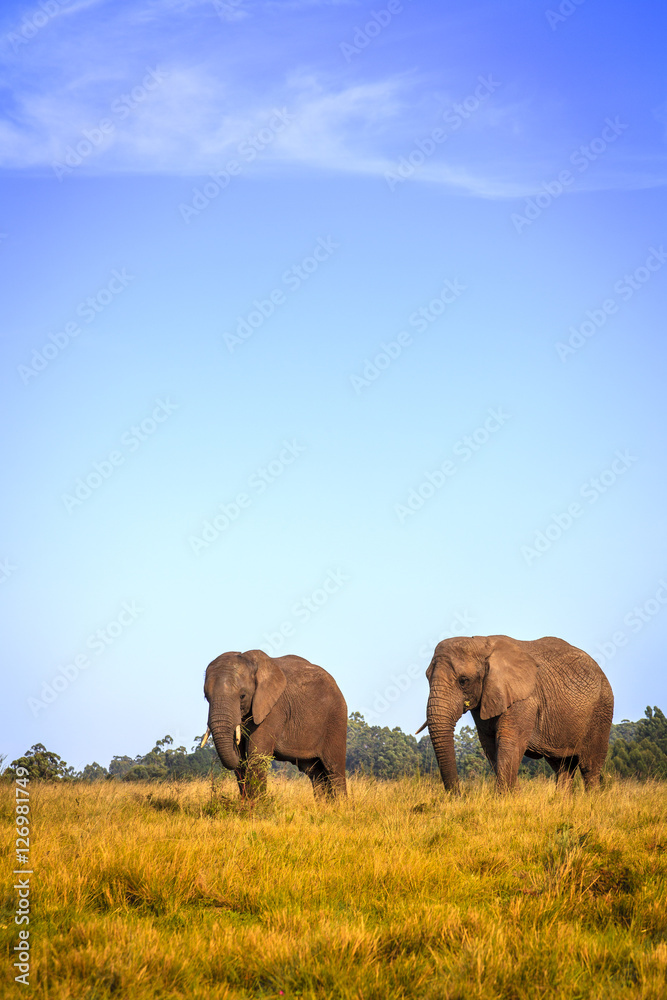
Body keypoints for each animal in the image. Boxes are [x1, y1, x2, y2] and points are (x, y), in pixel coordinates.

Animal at [202, 648, 350, 804]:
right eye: (206, 697)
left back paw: (340, 806)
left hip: (336, 719)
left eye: (242, 696)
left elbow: (256, 755)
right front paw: (245, 804)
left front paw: (256, 806)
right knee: (315, 773)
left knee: (334, 769)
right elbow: (242, 758)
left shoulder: (274, 708)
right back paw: (325, 806)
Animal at [422, 636, 616, 792]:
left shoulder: (524, 700)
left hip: (602, 710)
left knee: (589, 766)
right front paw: (513, 794)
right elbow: (490, 746)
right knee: (562, 768)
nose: (458, 796)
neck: (482, 643)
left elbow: (509, 742)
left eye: (463, 681)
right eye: (427, 677)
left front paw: (505, 799)